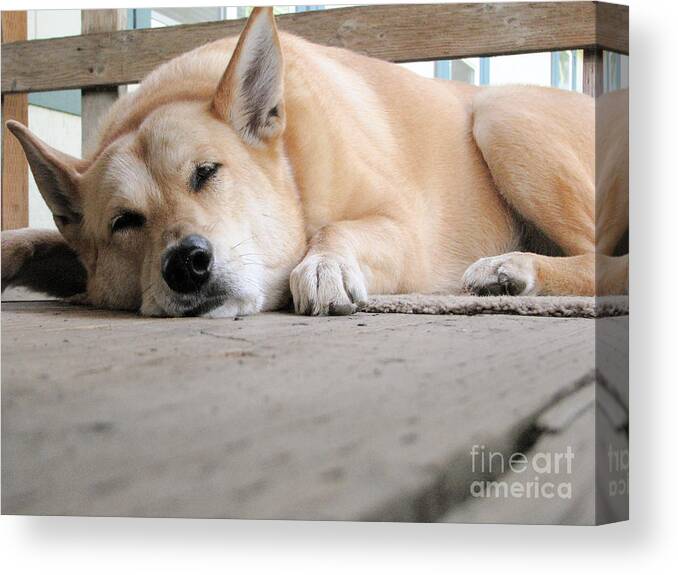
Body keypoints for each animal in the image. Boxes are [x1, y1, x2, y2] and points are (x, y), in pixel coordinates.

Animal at [0, 6, 628, 318]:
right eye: (124, 222)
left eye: (207, 173)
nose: (187, 264)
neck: (294, 168)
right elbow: (33, 236)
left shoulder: (402, 230)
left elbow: (336, 230)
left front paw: (323, 265)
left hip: (501, 115)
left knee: (611, 262)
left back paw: (513, 269)